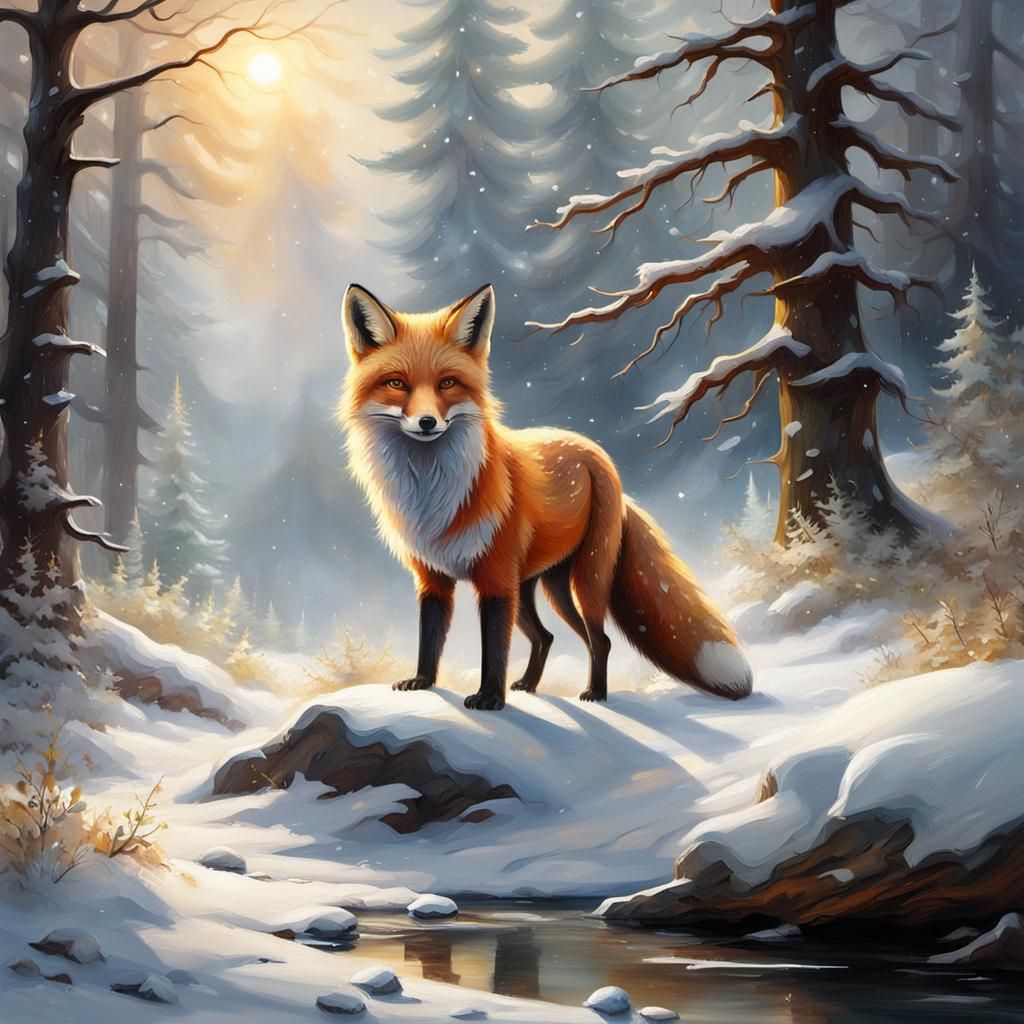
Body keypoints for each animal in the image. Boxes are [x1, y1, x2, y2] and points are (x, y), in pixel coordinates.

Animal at [338, 282, 753, 711]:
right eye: (397, 384)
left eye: (447, 383)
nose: (426, 422)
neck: (432, 492)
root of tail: (598, 457)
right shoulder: (433, 578)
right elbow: (430, 637)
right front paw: (423, 682)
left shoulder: (495, 579)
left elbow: (493, 649)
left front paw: (490, 697)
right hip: (539, 587)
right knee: (549, 636)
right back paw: (531, 685)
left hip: (584, 580)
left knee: (600, 639)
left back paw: (595, 693)